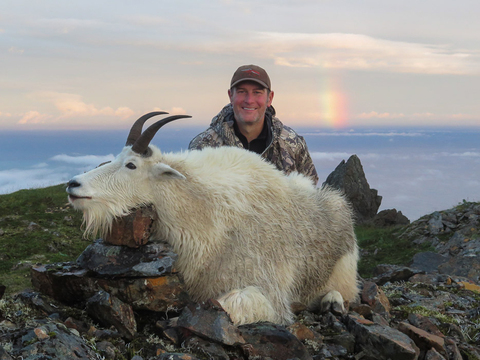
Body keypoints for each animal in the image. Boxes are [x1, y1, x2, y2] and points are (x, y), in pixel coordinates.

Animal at [68, 111, 360, 324]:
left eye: (131, 165)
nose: (73, 184)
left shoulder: (266, 290)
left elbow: (229, 304)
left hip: (344, 267)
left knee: (345, 292)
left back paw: (332, 302)